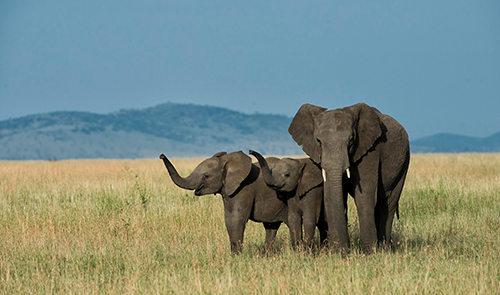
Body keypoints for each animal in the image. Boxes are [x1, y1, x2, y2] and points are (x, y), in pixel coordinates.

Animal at [158, 151, 288, 253]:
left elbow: (236, 219)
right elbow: (229, 219)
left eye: (206, 176)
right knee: (271, 227)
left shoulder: (244, 188)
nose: (161, 155)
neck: (227, 161)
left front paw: (237, 257)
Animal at [290, 102, 410, 254]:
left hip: (404, 162)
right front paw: (336, 252)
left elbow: (364, 197)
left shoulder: (371, 151)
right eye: (318, 141)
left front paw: (369, 253)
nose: (345, 250)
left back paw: (385, 249)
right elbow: (332, 196)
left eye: (351, 140)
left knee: (388, 204)